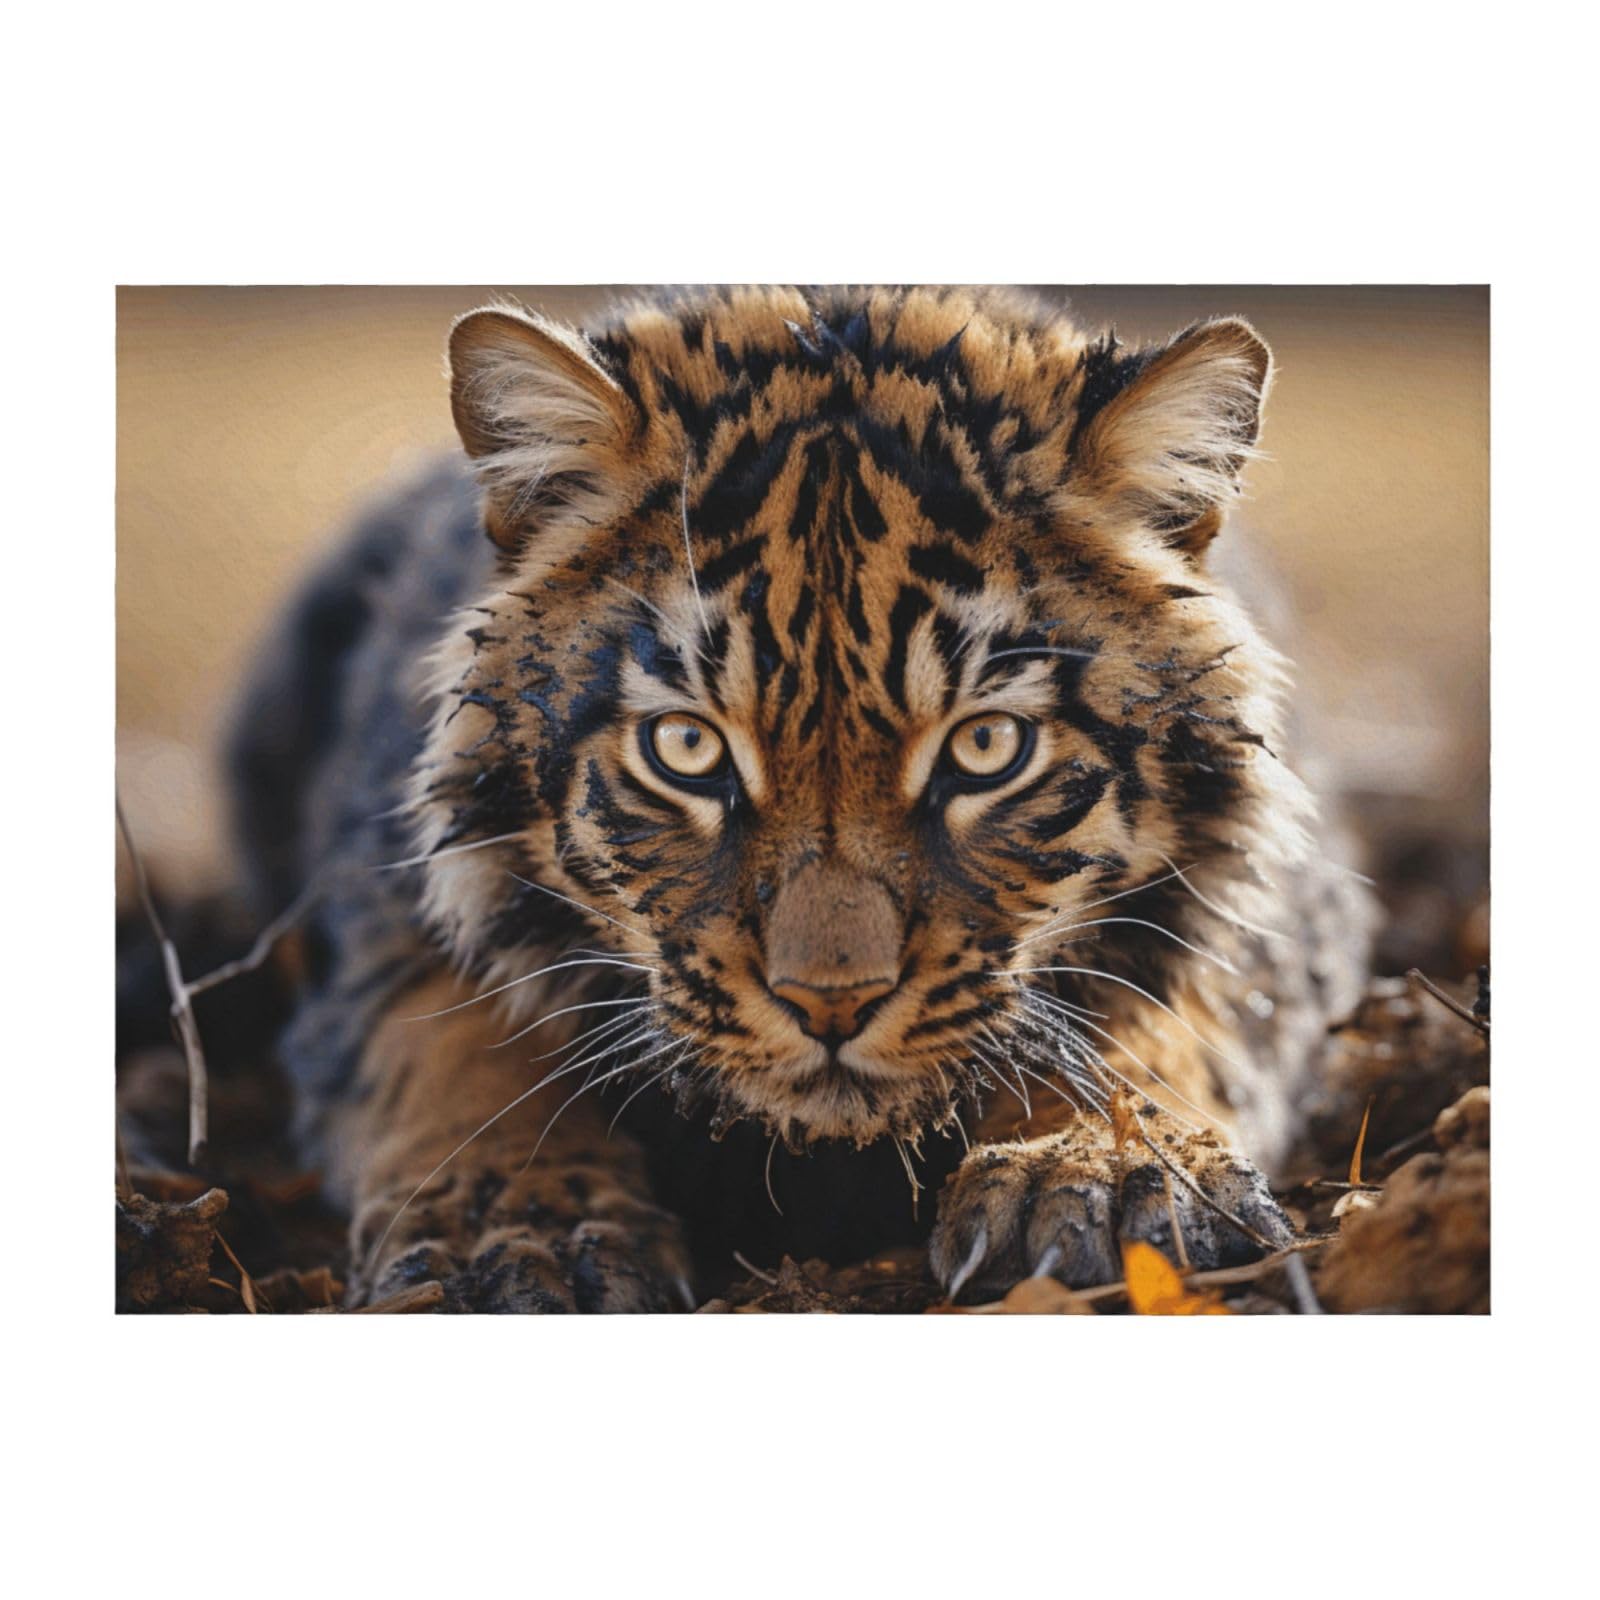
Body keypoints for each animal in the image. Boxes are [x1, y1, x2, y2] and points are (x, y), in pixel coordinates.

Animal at [228, 285, 1370, 1310]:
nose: (831, 1003)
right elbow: (454, 1040)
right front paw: (511, 1236)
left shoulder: (1274, 906)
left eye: (986, 747)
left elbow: (1163, 1007)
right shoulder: (387, 896)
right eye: (687, 747)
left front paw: (1104, 1172)